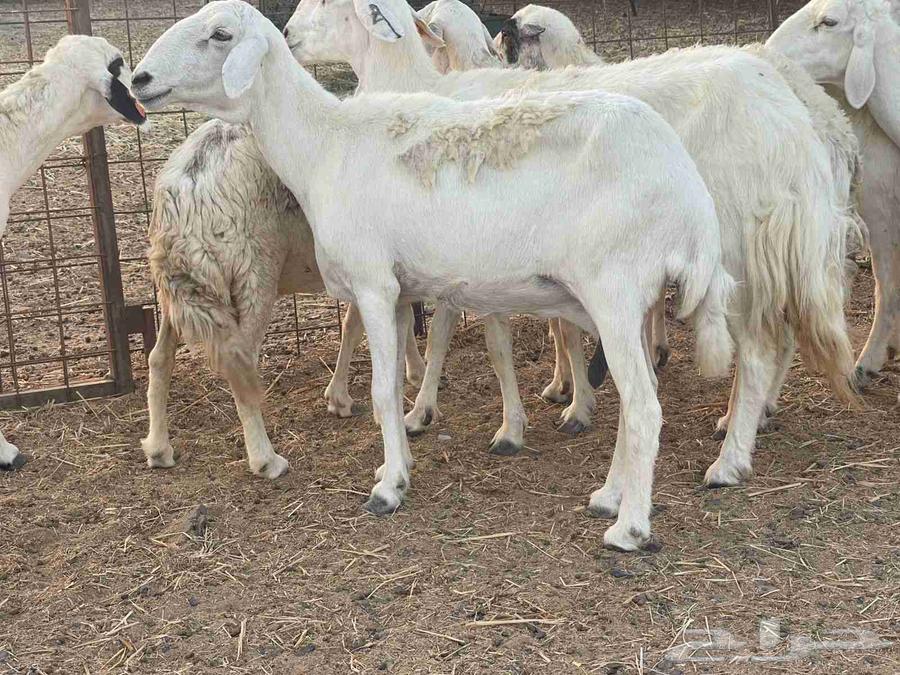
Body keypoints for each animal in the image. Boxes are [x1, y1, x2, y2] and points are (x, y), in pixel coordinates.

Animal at [142, 119, 429, 478]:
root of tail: (184, 189)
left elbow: (355, 324)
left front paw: (344, 395)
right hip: (253, 275)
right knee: (242, 365)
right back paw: (266, 459)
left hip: (183, 290)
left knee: (159, 357)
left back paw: (158, 447)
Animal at [285, 0, 861, 490]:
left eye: (329, 3)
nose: (287, 34)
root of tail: (796, 121)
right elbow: (546, 329)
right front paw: (568, 395)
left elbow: (469, 337)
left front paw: (446, 414)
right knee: (783, 333)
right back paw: (750, 417)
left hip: (740, 248)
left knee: (761, 346)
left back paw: (731, 455)